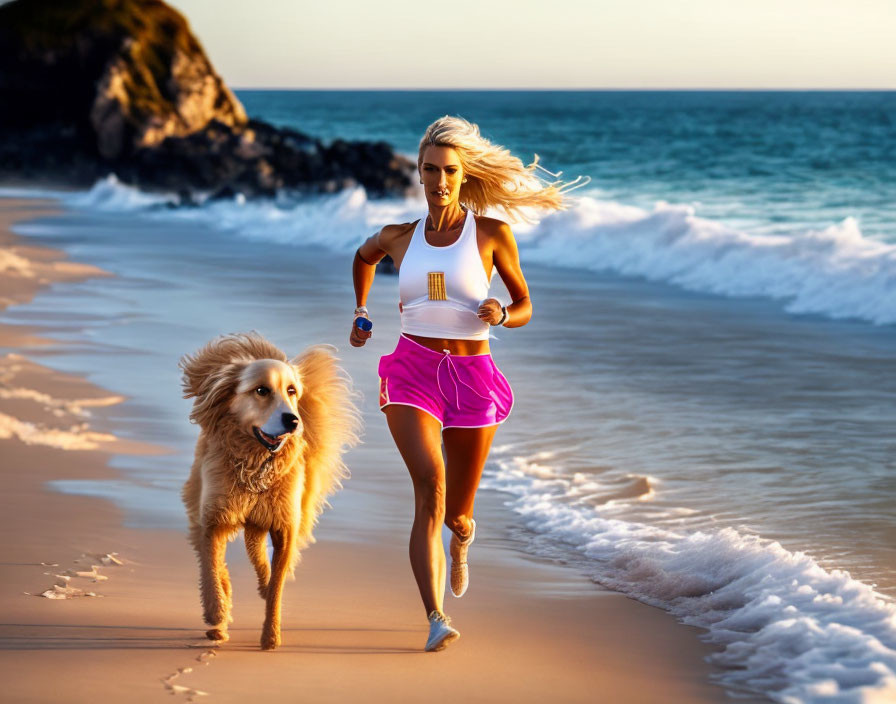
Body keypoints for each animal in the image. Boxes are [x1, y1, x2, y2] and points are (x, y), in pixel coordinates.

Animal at [178, 332, 360, 652]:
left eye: (292, 391)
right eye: (261, 390)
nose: (293, 420)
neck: (255, 466)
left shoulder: (284, 525)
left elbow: (277, 586)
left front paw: (271, 635)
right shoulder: (214, 517)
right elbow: (212, 567)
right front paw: (216, 612)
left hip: (266, 517)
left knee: (259, 555)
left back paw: (262, 582)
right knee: (210, 557)